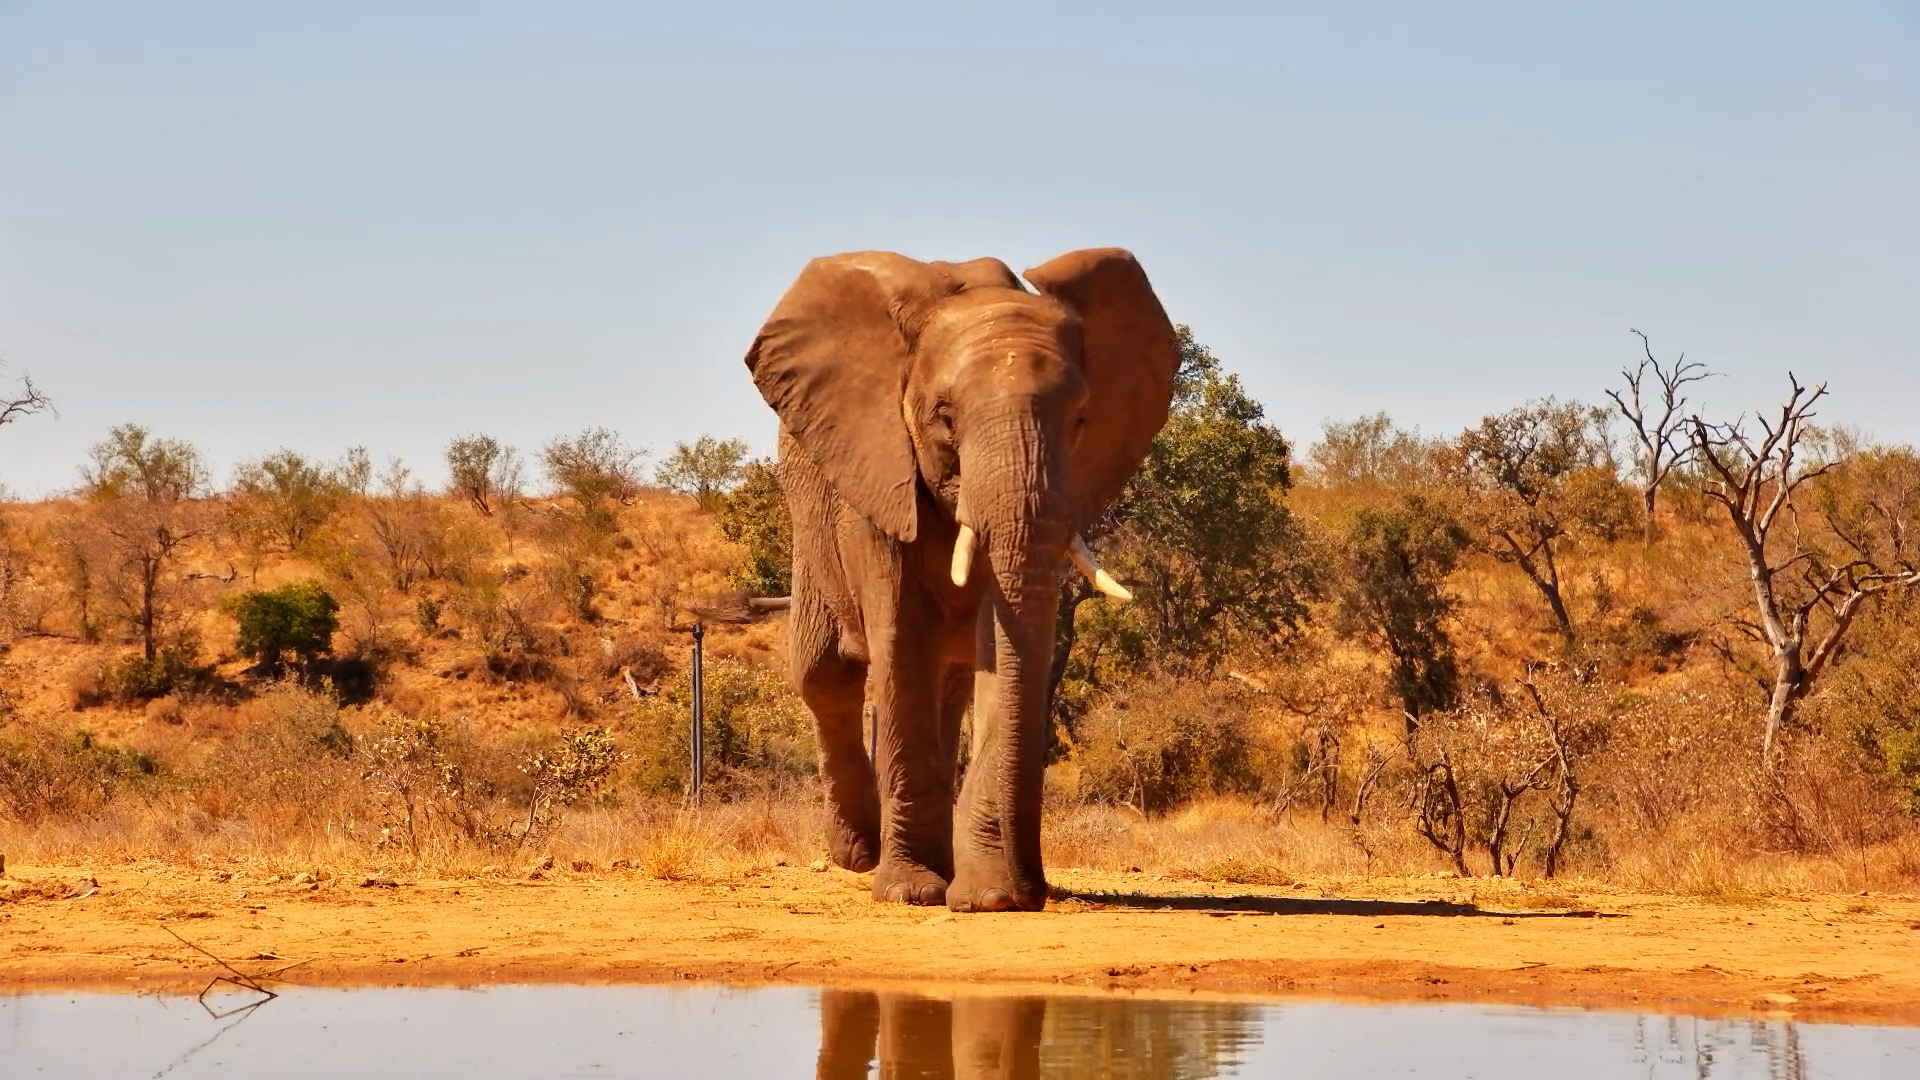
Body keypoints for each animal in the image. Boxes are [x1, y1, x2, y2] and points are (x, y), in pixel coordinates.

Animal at [744, 247, 1178, 912]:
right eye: (944, 418)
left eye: (1080, 420)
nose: (1033, 889)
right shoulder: (876, 476)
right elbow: (900, 641)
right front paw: (912, 892)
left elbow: (1000, 649)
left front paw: (986, 896)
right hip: (809, 516)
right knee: (827, 674)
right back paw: (860, 857)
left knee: (945, 685)